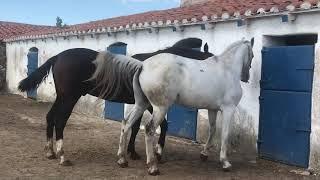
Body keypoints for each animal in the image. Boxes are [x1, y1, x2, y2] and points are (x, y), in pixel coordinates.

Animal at [16, 38, 212, 166]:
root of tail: (59, 56)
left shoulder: (142, 105)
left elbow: (135, 127)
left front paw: (132, 152)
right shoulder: (150, 105)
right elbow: (161, 126)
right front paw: (157, 153)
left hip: (62, 97)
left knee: (50, 117)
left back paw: (50, 152)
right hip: (70, 97)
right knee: (60, 121)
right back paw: (63, 156)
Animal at [117, 38, 255, 175]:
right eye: (252, 55)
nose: (246, 77)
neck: (227, 70)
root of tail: (143, 66)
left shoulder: (212, 109)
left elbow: (213, 129)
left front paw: (204, 154)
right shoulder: (228, 109)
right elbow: (225, 134)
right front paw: (225, 162)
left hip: (142, 104)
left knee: (127, 123)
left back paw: (122, 160)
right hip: (159, 108)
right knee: (149, 129)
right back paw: (152, 166)